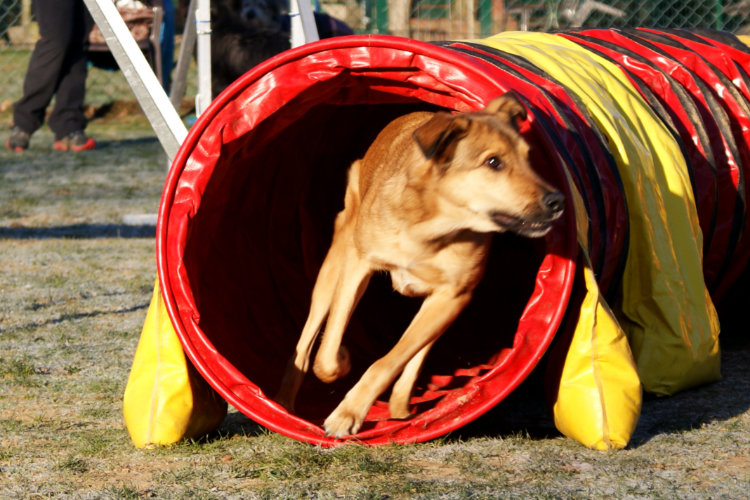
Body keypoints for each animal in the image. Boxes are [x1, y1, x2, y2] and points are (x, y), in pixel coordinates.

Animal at [276, 93, 564, 438]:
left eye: (529, 158)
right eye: (493, 162)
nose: (557, 201)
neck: (432, 226)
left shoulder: (453, 296)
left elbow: (392, 360)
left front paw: (349, 412)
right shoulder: (359, 266)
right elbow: (328, 355)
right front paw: (343, 366)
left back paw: (400, 406)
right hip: (332, 266)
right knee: (308, 340)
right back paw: (284, 404)